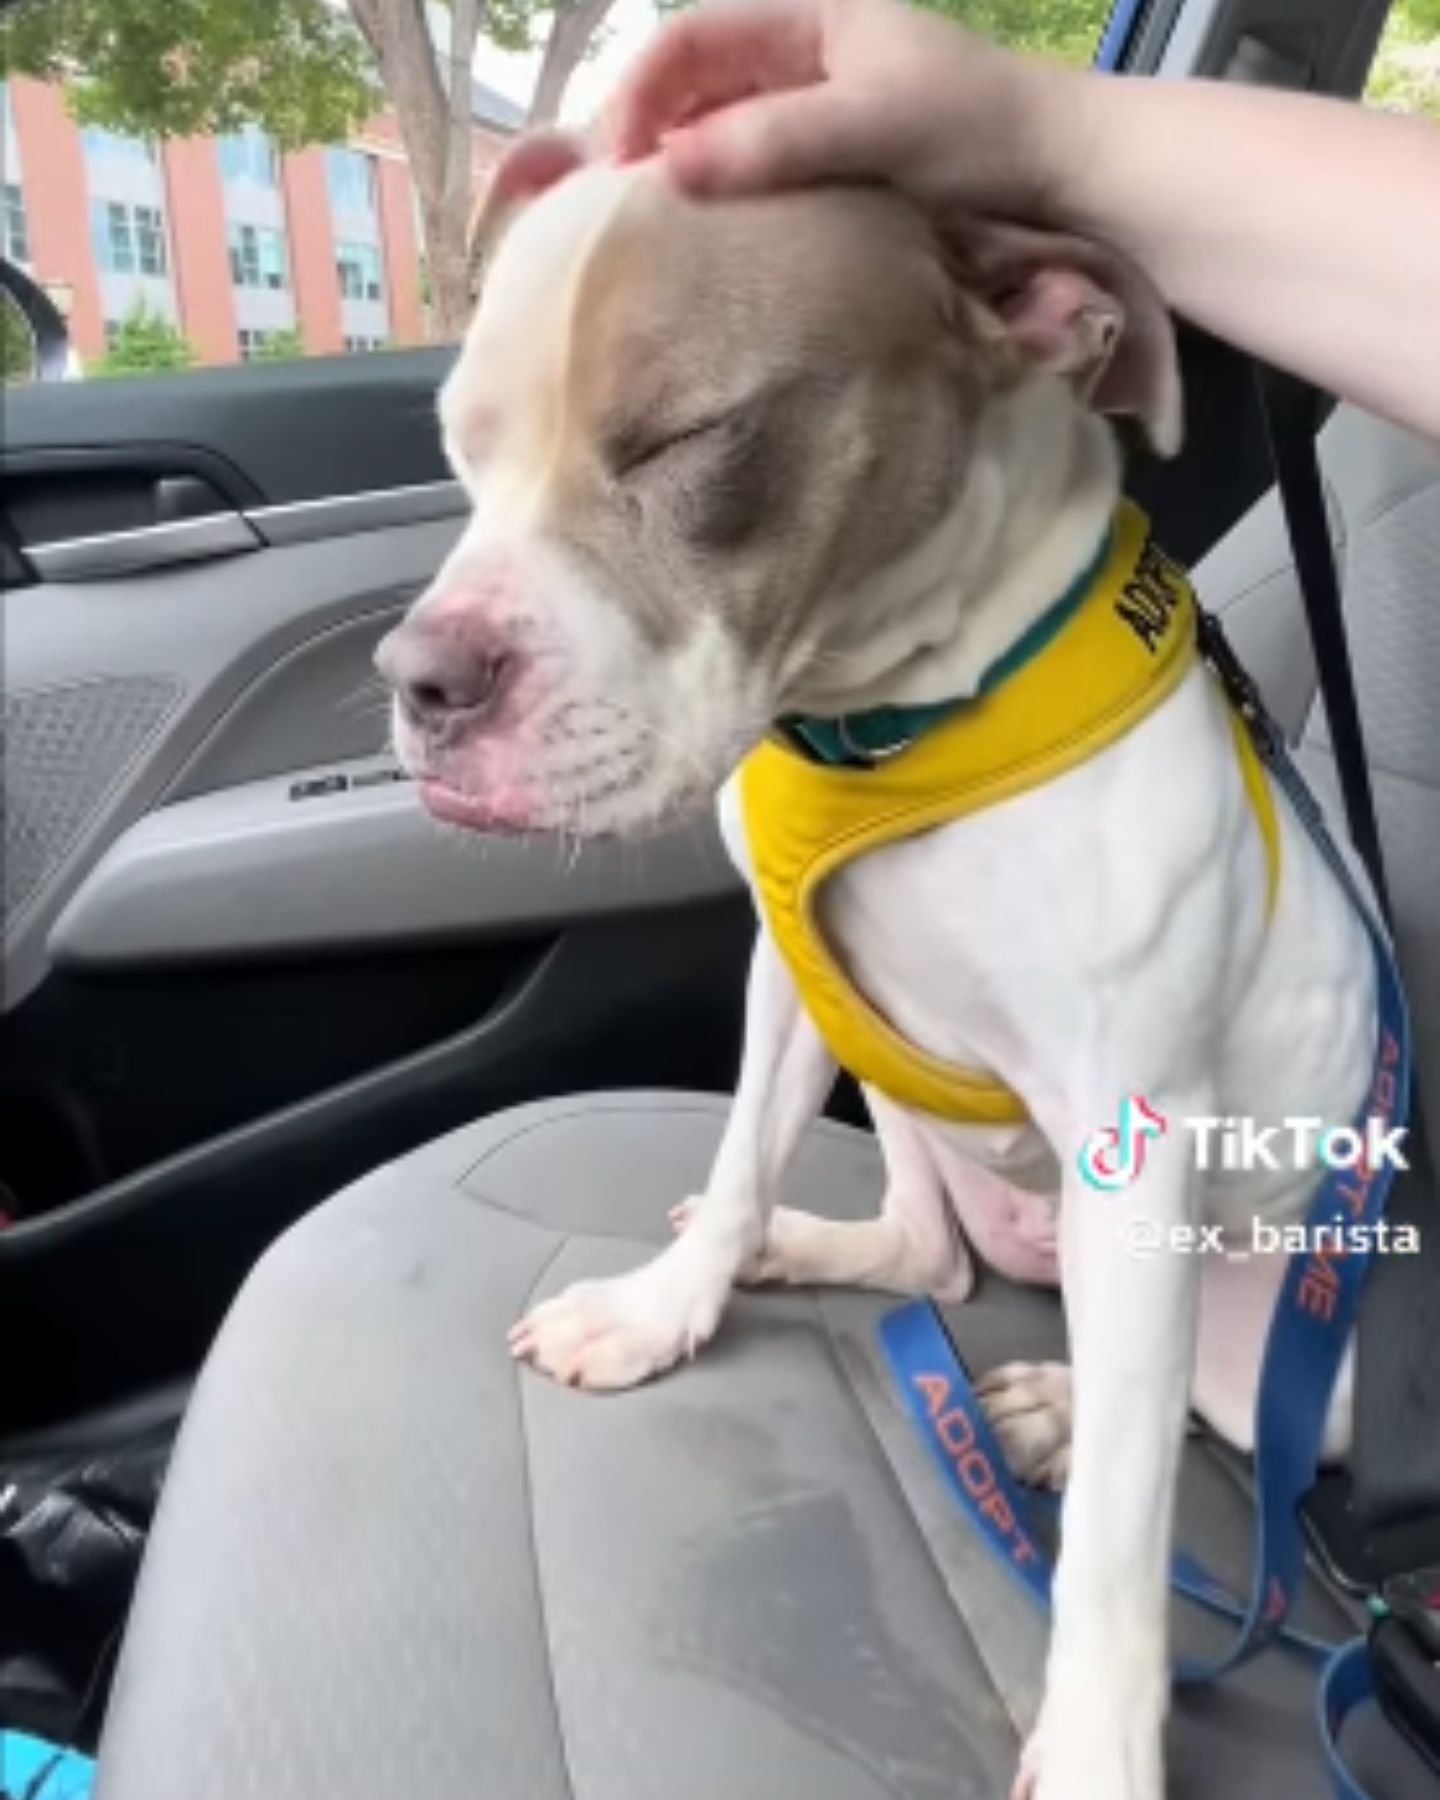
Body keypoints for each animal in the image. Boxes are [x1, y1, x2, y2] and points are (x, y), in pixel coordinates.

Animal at [379, 144, 1375, 1800]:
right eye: (459, 443)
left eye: (683, 435)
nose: (420, 681)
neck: (897, 723)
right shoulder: (792, 983)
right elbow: (733, 1166)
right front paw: (668, 1304)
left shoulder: (1135, 1134)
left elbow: (1120, 1528)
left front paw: (1097, 1740)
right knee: (933, 1259)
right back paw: (832, 1261)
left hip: (1285, 1328)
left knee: (1188, 1408)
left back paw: (1056, 1411)